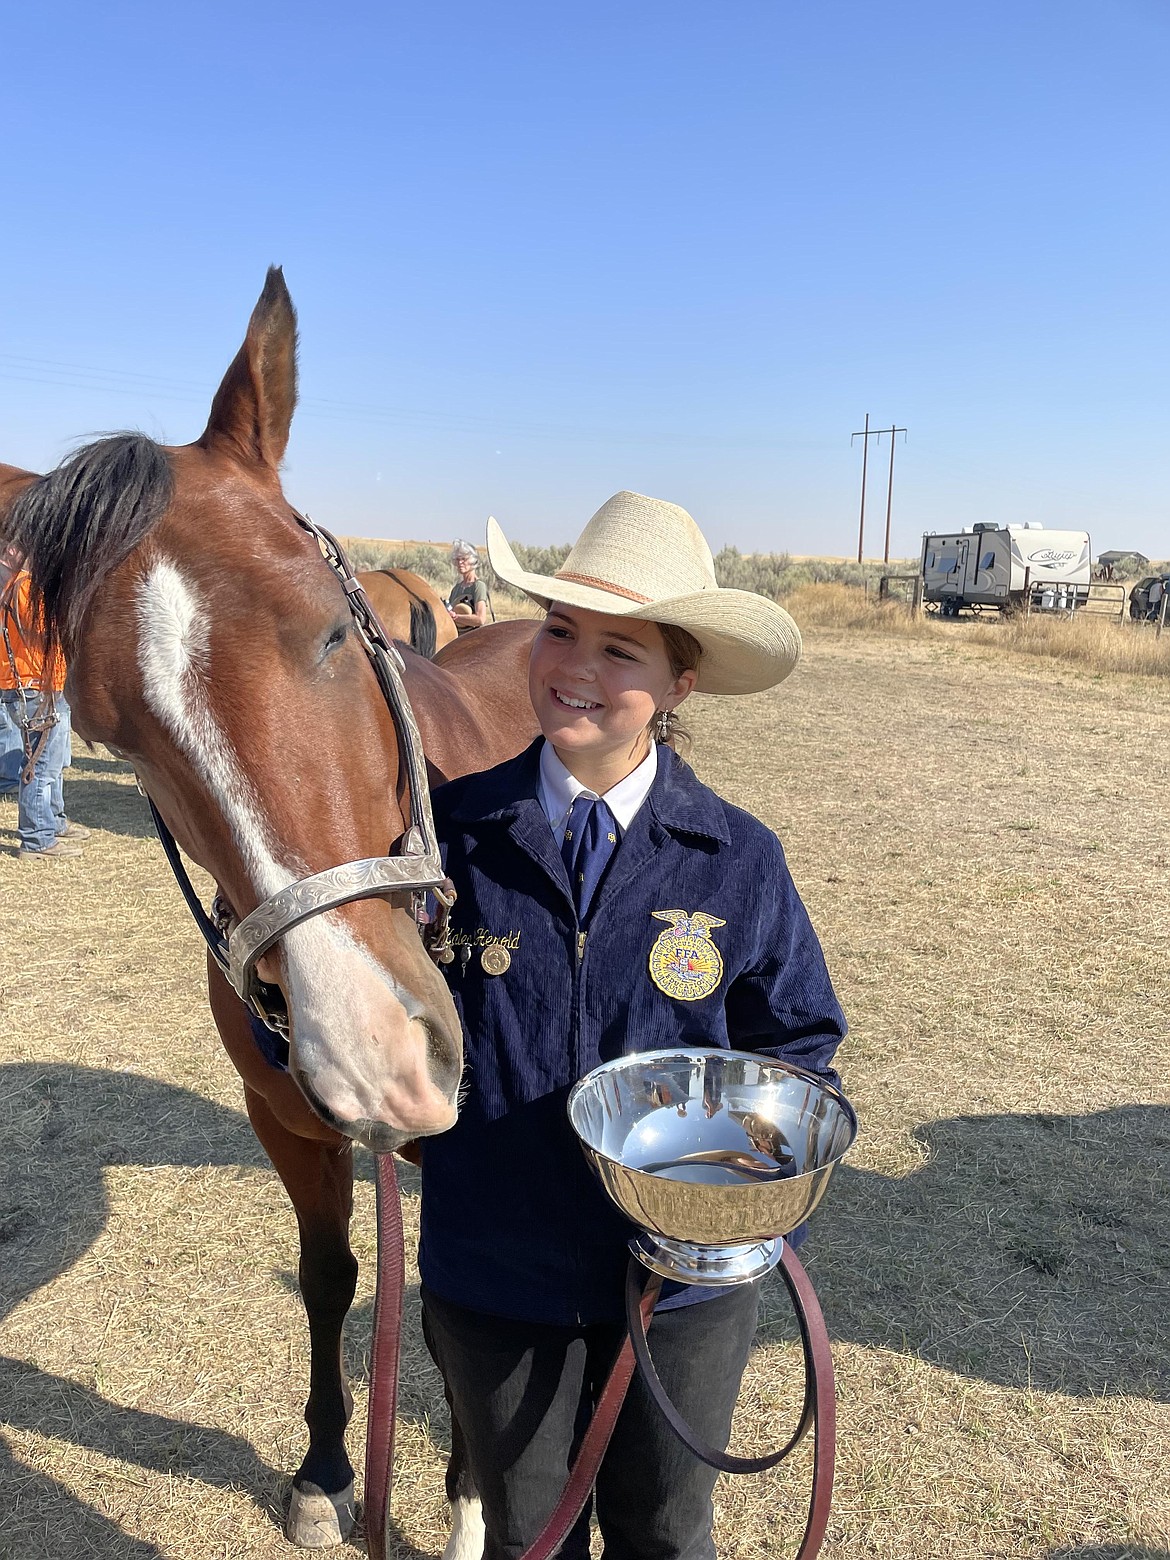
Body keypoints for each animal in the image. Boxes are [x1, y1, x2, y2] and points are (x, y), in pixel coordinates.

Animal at [0, 268, 539, 1547]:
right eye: (114, 729)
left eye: (334, 630)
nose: (377, 1047)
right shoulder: (288, 1121)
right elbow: (331, 1279)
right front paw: (327, 1471)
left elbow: (460, 1307)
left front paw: (467, 1499)